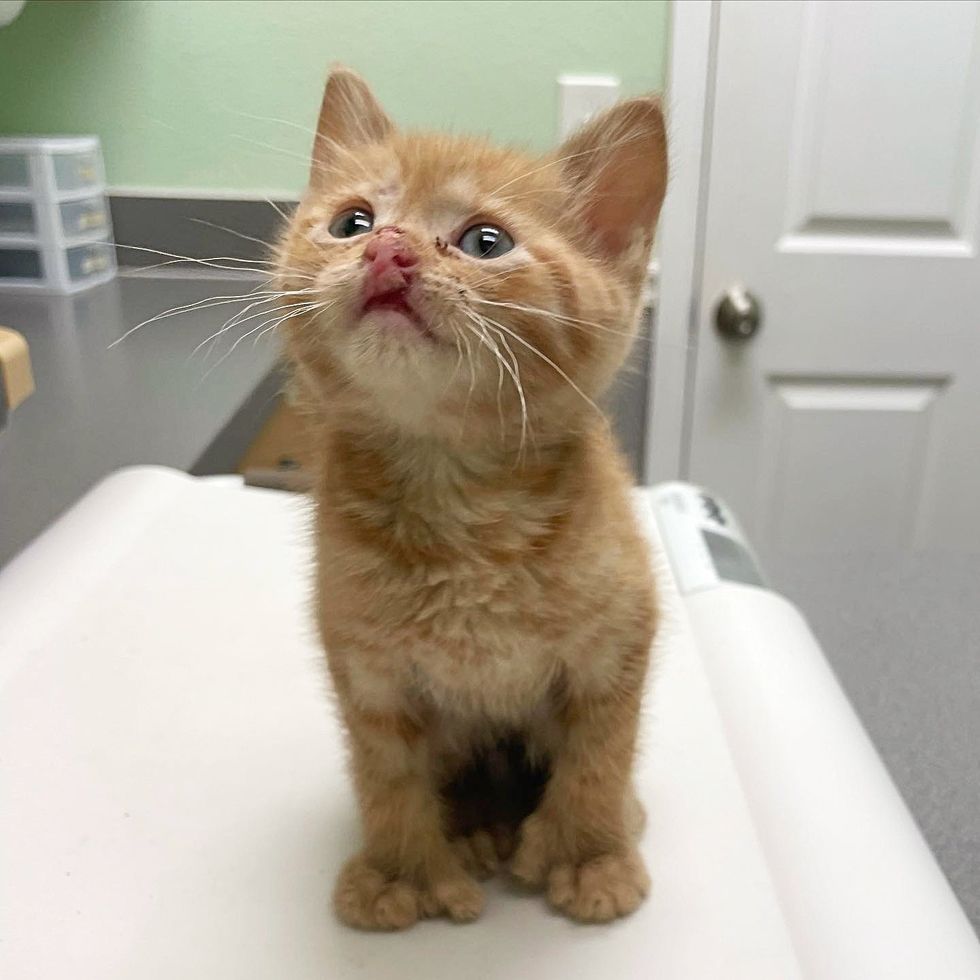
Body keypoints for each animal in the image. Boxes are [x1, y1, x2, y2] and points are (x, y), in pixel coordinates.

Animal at [278, 67, 668, 928]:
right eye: (352, 222)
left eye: (485, 242)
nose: (387, 249)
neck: (456, 506)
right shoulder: (367, 666)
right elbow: (386, 774)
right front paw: (401, 871)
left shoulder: (617, 641)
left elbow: (601, 754)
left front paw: (591, 856)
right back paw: (475, 829)